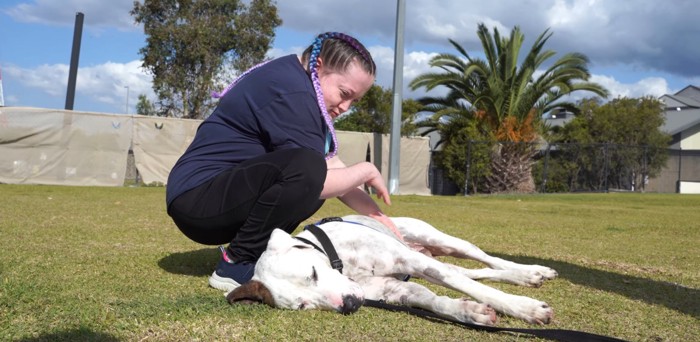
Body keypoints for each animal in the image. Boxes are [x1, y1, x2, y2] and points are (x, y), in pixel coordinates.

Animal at [226, 215, 556, 324]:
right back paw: (527, 277)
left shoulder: (411, 262)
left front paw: (524, 309)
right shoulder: (396, 288)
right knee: (472, 272)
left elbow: (467, 286)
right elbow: (433, 299)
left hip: (440, 241)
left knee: (485, 261)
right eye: (303, 305)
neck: (340, 259)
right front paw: (469, 312)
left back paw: (530, 271)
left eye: (313, 273)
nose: (349, 304)